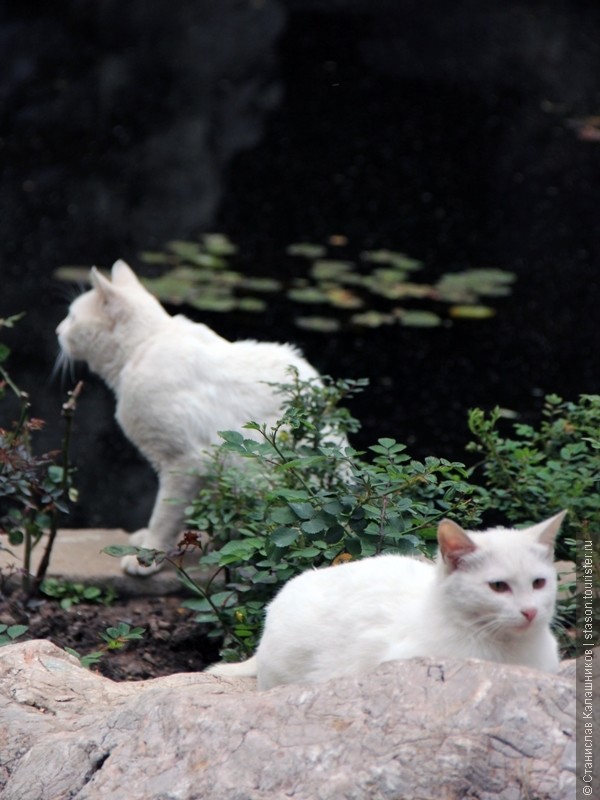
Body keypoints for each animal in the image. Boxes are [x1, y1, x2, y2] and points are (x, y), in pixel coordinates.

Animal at [56, 262, 322, 576]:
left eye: (72, 317)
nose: (58, 330)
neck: (145, 344)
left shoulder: (185, 461)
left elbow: (165, 514)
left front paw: (147, 557)